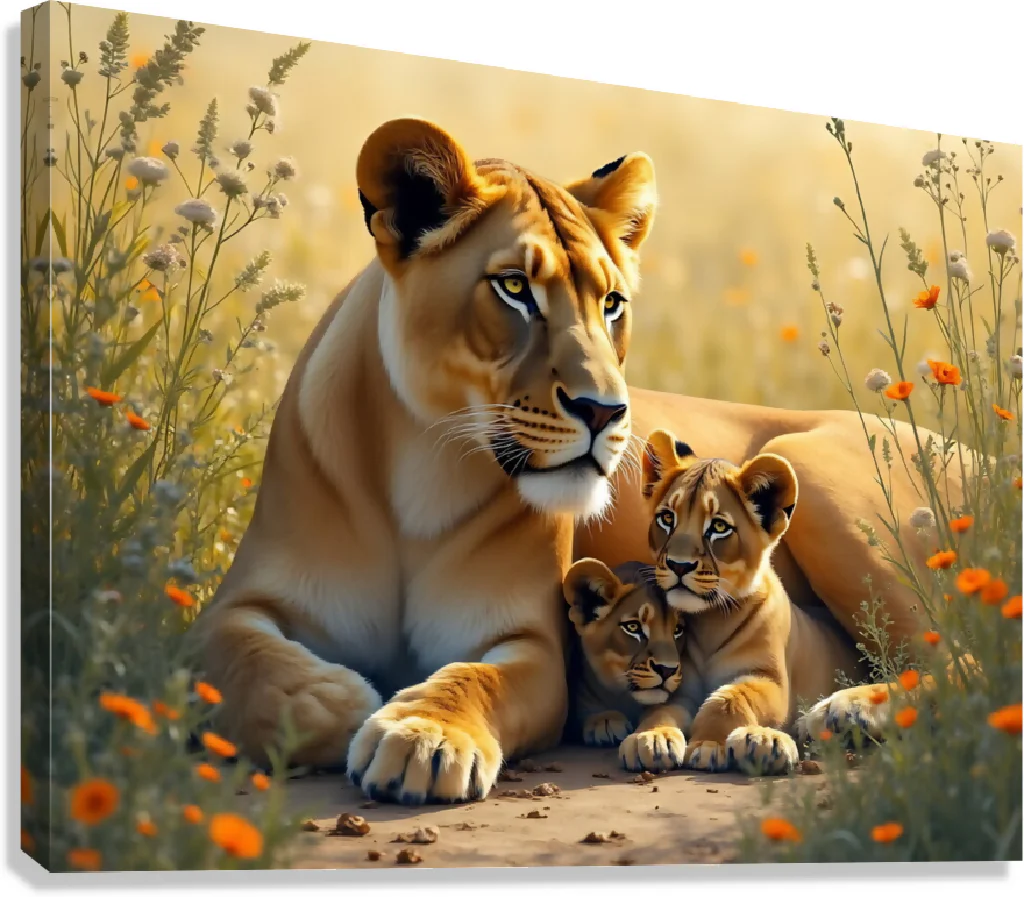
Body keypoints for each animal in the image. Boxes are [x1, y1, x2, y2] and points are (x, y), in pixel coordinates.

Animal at [561, 558, 689, 771]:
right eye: (633, 627)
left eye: (678, 630)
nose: (667, 670)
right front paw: (605, 721)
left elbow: (663, 713)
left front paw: (655, 740)